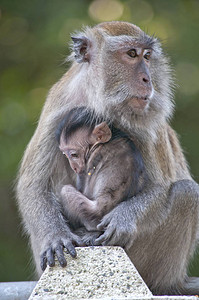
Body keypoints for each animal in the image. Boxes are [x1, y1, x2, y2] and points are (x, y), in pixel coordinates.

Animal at [16, 21, 199, 296]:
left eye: (147, 56)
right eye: (131, 54)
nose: (148, 79)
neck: (97, 101)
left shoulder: (146, 123)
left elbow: (159, 187)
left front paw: (123, 219)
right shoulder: (57, 108)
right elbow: (33, 185)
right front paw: (55, 236)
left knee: (187, 193)